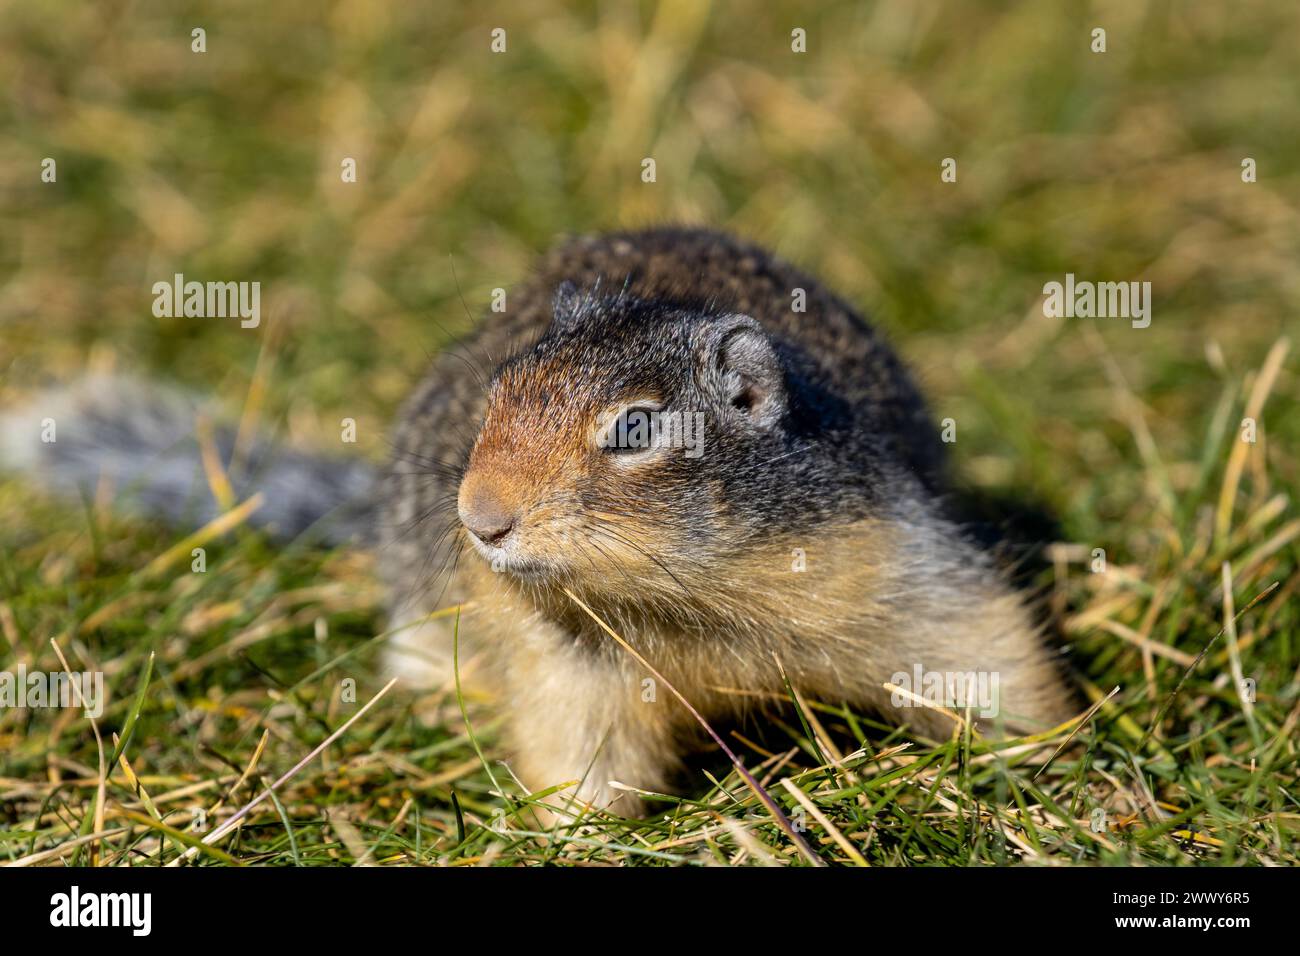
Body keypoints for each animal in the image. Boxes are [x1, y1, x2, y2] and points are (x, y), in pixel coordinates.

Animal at [0, 227, 1071, 816]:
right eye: (499, 392)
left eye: (634, 428)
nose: (480, 518)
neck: (687, 601)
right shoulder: (573, 663)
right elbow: (580, 747)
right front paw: (579, 830)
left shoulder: (886, 556)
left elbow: (981, 643)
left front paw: (1046, 752)